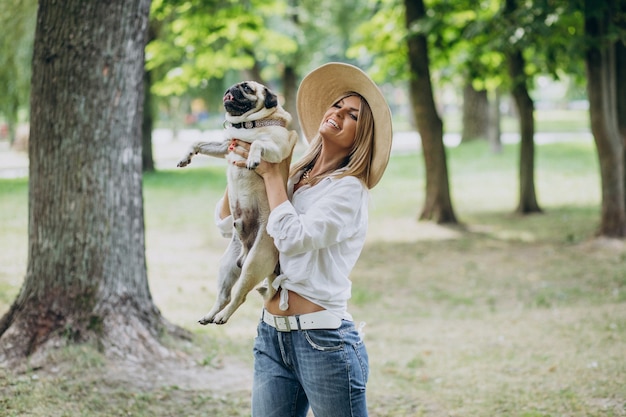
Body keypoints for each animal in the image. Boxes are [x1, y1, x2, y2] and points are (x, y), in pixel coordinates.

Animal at [178, 79, 298, 324]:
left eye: (247, 88)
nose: (230, 88)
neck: (249, 125)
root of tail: (245, 254)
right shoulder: (226, 146)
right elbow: (200, 141)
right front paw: (187, 156)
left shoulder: (275, 148)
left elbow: (258, 144)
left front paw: (252, 158)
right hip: (226, 266)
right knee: (224, 296)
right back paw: (210, 315)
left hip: (253, 265)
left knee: (239, 297)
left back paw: (222, 317)